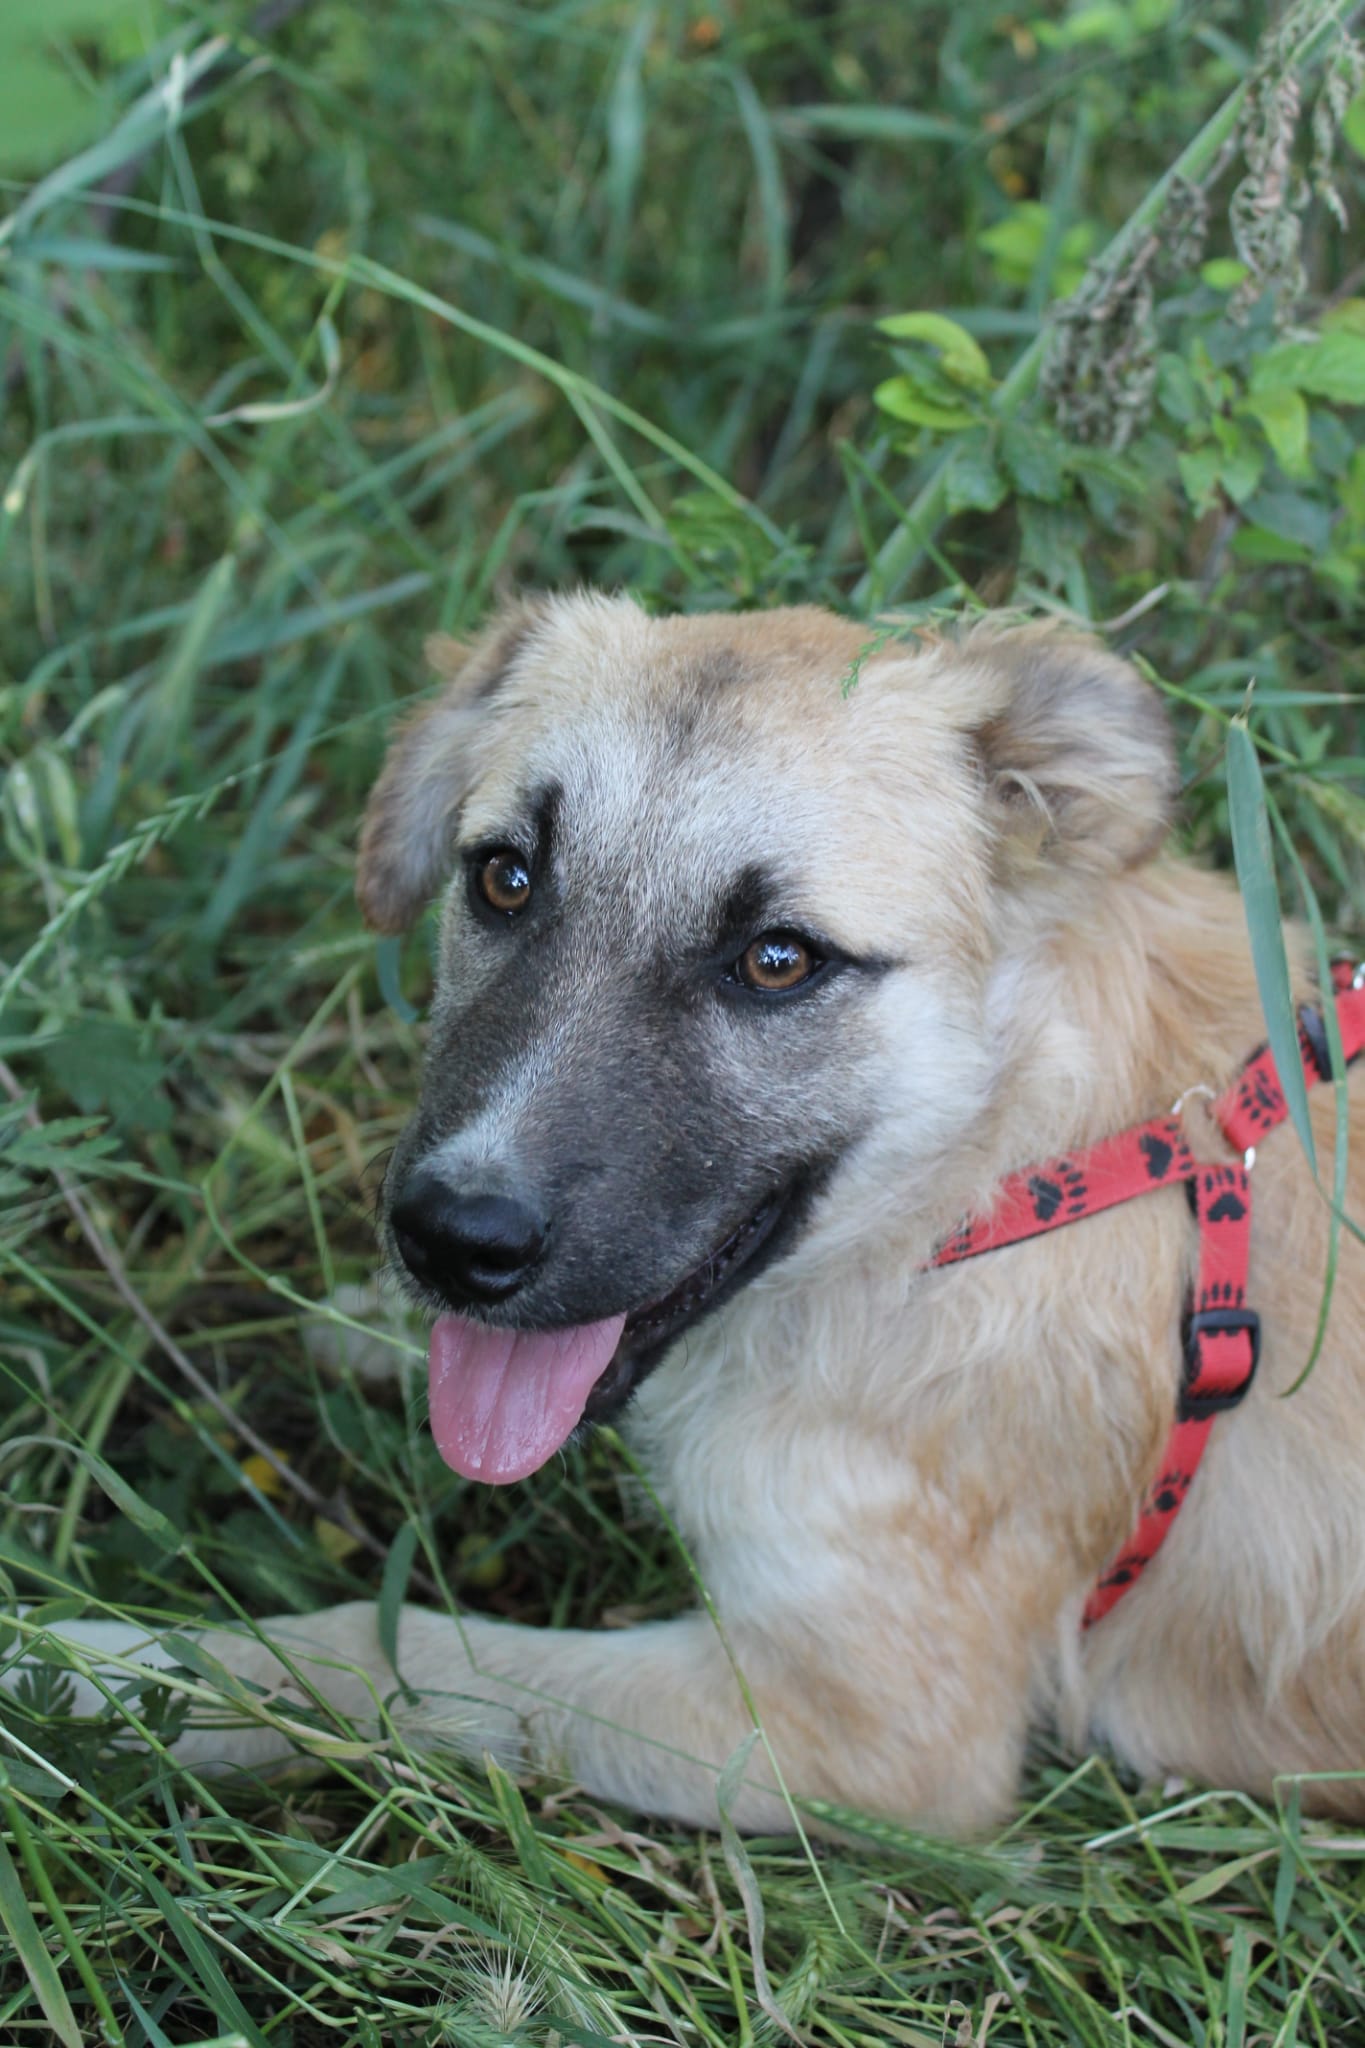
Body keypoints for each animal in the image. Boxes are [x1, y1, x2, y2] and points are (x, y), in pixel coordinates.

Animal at [16, 595, 1365, 1833]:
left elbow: (394, 1650)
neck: (1000, 1183)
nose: (453, 1239)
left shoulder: (867, 1733)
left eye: (778, 958)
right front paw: (334, 1324)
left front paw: (100, 1672)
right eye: (504, 877)